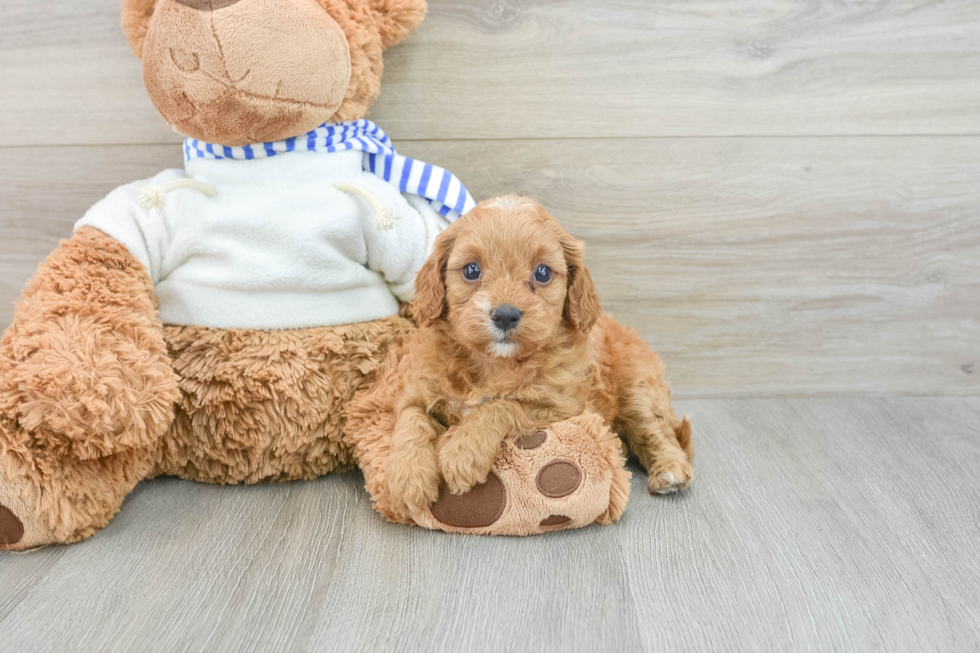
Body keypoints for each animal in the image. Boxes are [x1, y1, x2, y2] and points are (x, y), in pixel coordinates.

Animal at [386, 194, 692, 516]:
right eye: (471, 270)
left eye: (542, 273)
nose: (505, 315)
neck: (493, 363)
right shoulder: (418, 390)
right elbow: (411, 419)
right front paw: (407, 477)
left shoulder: (561, 408)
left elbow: (503, 405)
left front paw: (463, 451)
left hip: (637, 388)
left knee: (656, 431)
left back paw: (670, 471)